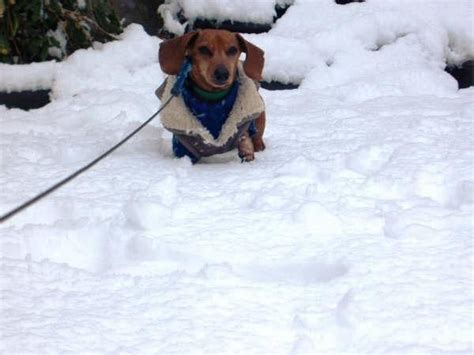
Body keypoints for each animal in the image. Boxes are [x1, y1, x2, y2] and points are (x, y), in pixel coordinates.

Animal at [156, 29, 264, 163]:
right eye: (204, 49)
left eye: (233, 50)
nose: (222, 73)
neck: (213, 97)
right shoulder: (182, 141)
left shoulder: (243, 126)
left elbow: (244, 137)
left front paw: (246, 151)